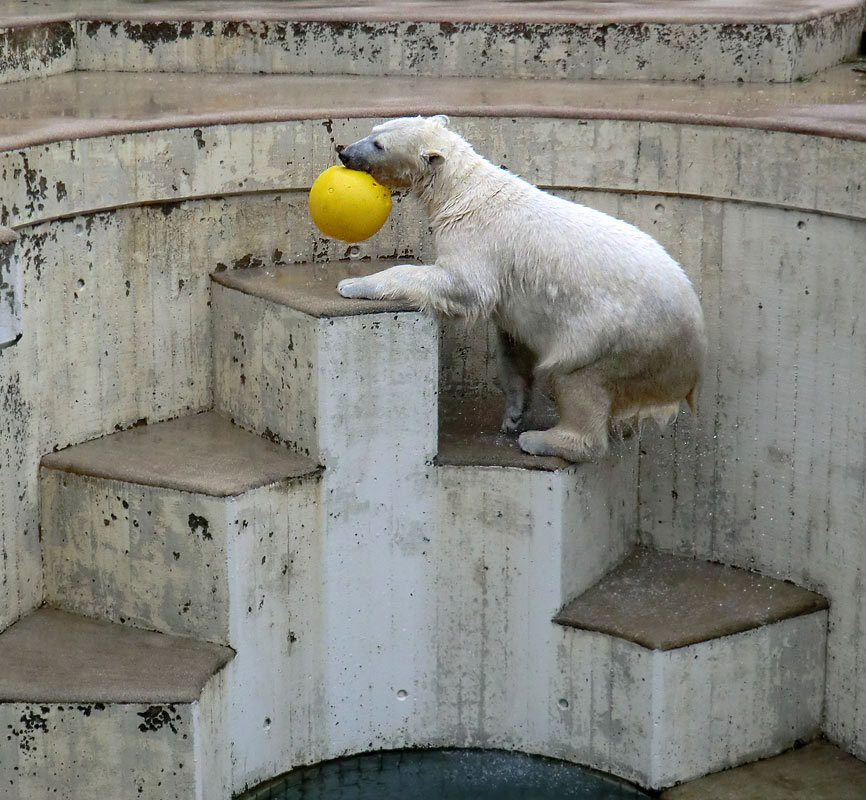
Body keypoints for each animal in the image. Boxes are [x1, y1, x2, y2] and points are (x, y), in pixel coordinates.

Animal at [334, 115, 704, 460]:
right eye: (373, 130)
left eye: (379, 145)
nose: (344, 153)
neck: (463, 192)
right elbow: (513, 344)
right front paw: (513, 413)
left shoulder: (478, 240)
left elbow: (462, 284)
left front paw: (352, 284)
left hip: (619, 336)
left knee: (580, 377)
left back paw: (544, 440)